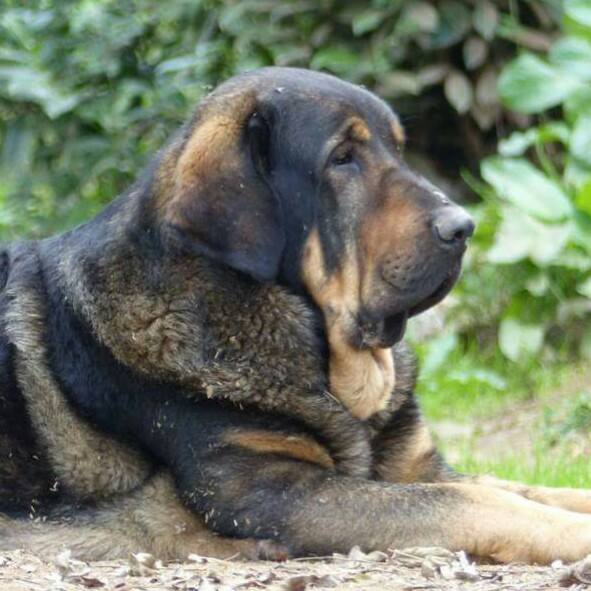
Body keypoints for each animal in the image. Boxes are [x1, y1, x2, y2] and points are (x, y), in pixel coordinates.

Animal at [1, 67, 591, 568]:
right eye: (342, 159)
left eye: (398, 151)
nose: (464, 226)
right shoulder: (278, 492)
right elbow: (473, 503)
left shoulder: (414, 464)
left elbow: (518, 490)